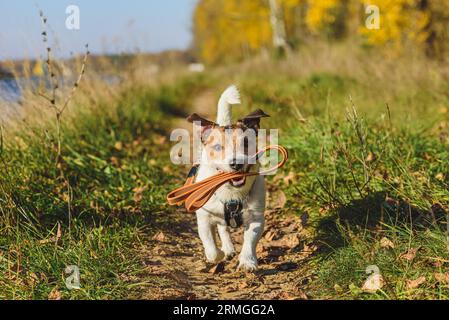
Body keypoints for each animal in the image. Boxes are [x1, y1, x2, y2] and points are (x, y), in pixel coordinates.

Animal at [186, 85, 268, 270]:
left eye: (246, 143)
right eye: (217, 147)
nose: (236, 163)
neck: (231, 192)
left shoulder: (256, 217)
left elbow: (250, 239)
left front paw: (247, 261)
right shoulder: (204, 218)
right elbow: (211, 248)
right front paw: (220, 254)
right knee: (222, 228)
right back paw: (227, 248)